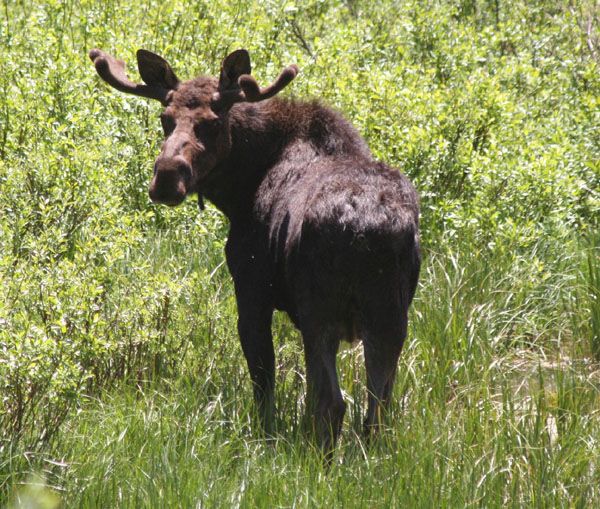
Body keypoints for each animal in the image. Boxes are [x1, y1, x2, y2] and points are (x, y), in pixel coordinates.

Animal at [90, 46, 422, 452]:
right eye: (165, 119)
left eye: (212, 123)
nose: (167, 176)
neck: (239, 192)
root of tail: (366, 229)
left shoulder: (251, 291)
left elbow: (263, 382)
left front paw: (264, 439)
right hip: (391, 315)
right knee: (379, 409)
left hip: (321, 311)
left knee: (331, 402)